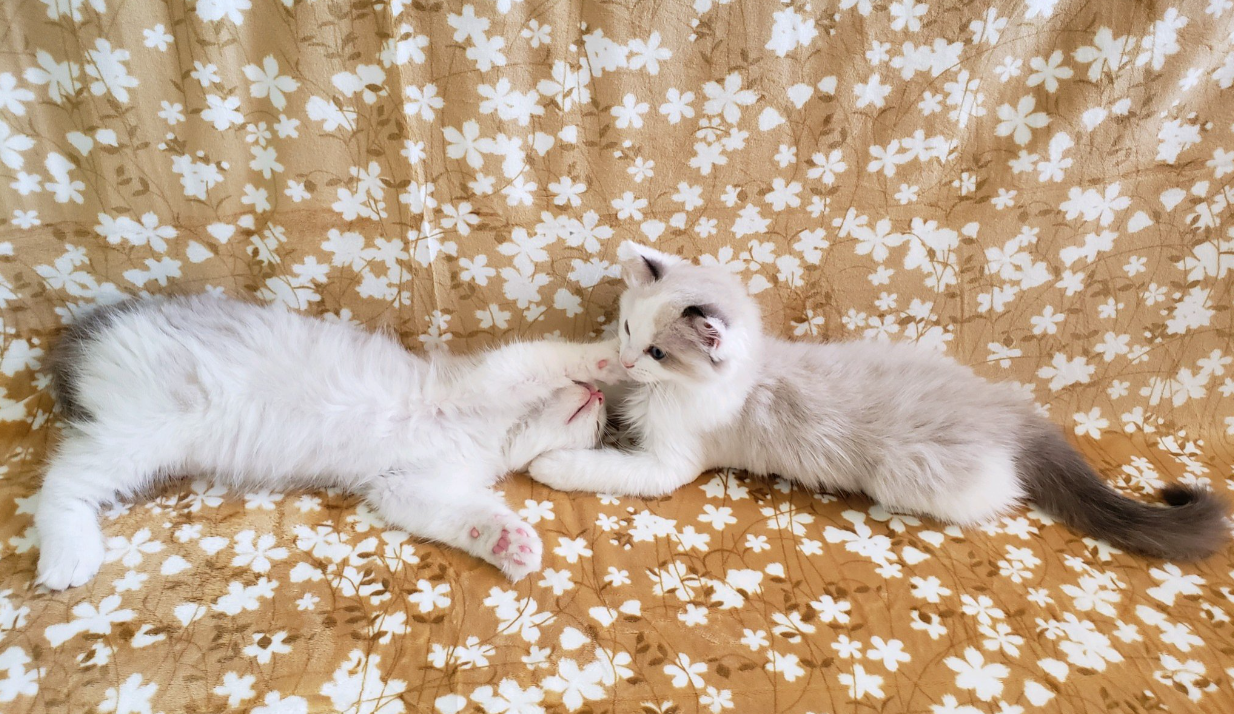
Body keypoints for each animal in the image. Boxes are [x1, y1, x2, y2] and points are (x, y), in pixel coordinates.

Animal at [37, 293, 621, 589]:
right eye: (603, 426)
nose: (601, 399)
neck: (489, 437)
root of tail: (94, 328)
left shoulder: (405, 487)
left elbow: (463, 516)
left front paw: (507, 543)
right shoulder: (484, 378)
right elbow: (546, 356)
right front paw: (612, 354)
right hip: (142, 431)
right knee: (57, 483)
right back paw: (68, 555)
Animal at [533, 244, 1234, 564]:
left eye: (659, 352)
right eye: (629, 331)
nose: (629, 359)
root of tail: (1005, 411)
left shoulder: (667, 464)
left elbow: (602, 466)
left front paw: (548, 463)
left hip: (911, 473)